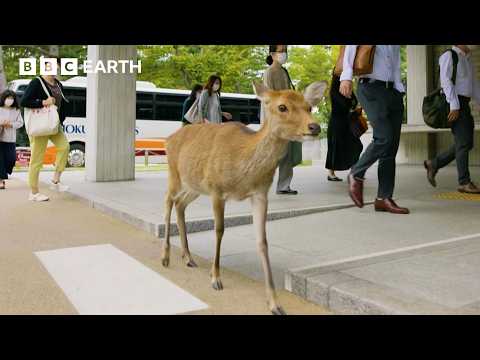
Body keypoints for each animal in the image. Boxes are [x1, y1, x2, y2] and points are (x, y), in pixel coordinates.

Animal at [161, 79, 326, 316]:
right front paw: (215, 278)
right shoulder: (217, 189)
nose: (315, 127)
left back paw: (188, 257)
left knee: (180, 204)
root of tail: (168, 139)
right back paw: (165, 257)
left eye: (309, 107)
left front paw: (275, 303)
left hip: (194, 185)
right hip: (175, 174)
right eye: (282, 107)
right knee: (167, 200)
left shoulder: (260, 194)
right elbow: (219, 230)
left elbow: (262, 241)